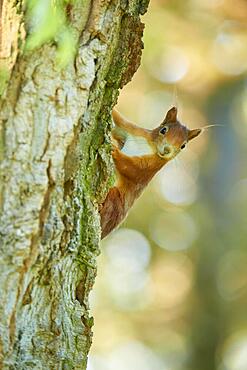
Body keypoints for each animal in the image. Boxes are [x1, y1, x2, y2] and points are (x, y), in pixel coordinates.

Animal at [99, 106, 202, 240]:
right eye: (163, 130)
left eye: (183, 146)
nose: (167, 150)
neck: (151, 146)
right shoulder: (133, 130)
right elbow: (118, 121)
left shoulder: (151, 167)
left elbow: (132, 169)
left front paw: (115, 151)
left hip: (116, 201)